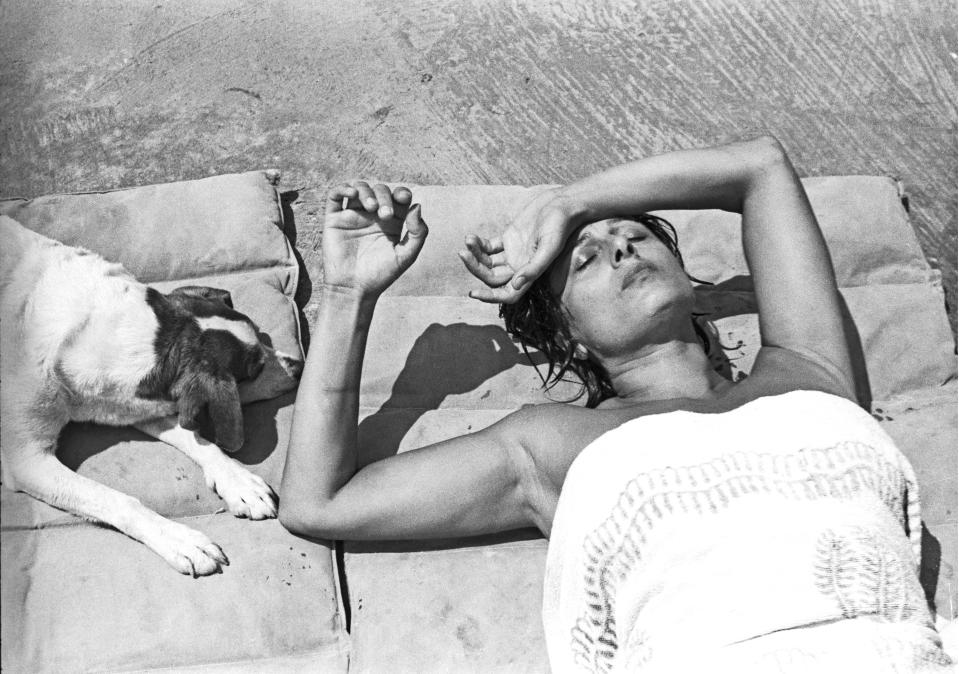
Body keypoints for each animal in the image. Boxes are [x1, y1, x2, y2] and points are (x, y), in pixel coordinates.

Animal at [0, 218, 302, 576]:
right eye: (255, 370)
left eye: (262, 335)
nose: (299, 366)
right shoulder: (29, 461)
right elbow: (119, 500)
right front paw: (180, 540)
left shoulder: (136, 403)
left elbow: (201, 440)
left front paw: (239, 482)